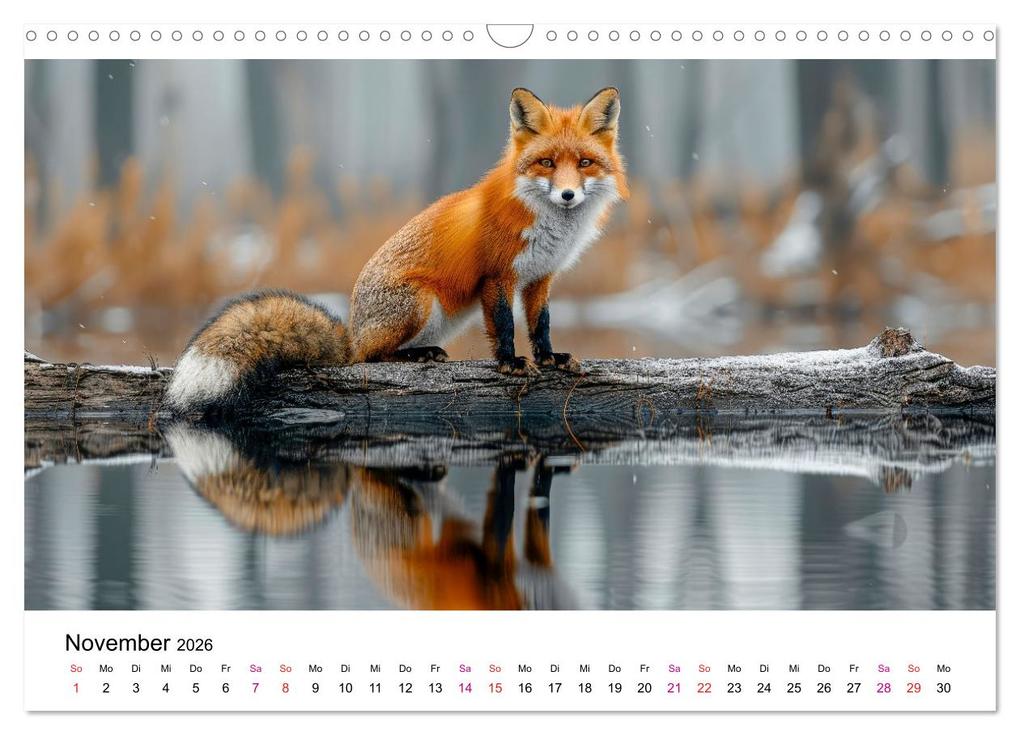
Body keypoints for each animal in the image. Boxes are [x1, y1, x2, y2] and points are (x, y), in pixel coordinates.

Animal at [165, 87, 628, 415]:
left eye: (584, 163)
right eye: (547, 163)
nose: (567, 195)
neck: (548, 227)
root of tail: (352, 333)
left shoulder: (539, 278)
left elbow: (540, 325)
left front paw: (550, 358)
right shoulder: (498, 275)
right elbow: (504, 326)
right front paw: (511, 364)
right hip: (419, 302)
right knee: (372, 359)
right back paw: (413, 355)